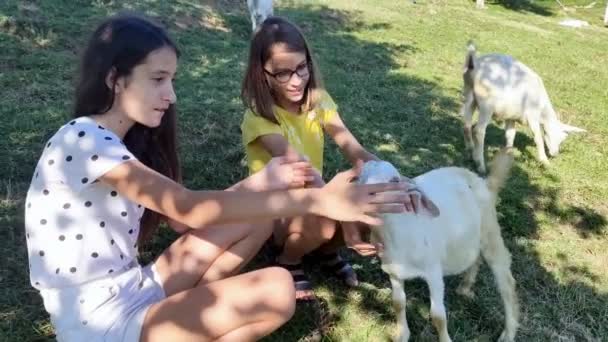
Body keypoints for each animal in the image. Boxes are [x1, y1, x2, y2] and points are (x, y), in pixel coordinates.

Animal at [460, 41, 584, 174]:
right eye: (560, 137)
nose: (554, 154)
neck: (543, 108)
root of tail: (474, 65)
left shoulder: (511, 116)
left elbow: (510, 134)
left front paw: (508, 153)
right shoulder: (532, 115)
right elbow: (538, 138)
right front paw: (544, 161)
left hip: (469, 95)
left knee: (466, 125)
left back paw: (470, 151)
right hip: (486, 105)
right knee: (478, 131)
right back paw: (480, 165)